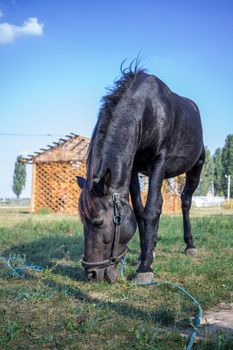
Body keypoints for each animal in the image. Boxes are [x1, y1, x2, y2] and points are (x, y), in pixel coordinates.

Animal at [77, 63, 204, 284]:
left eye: (98, 222)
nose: (91, 274)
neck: (147, 110)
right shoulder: (134, 168)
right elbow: (139, 210)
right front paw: (146, 255)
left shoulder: (159, 160)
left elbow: (150, 211)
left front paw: (145, 268)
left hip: (196, 166)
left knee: (185, 201)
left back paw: (190, 245)